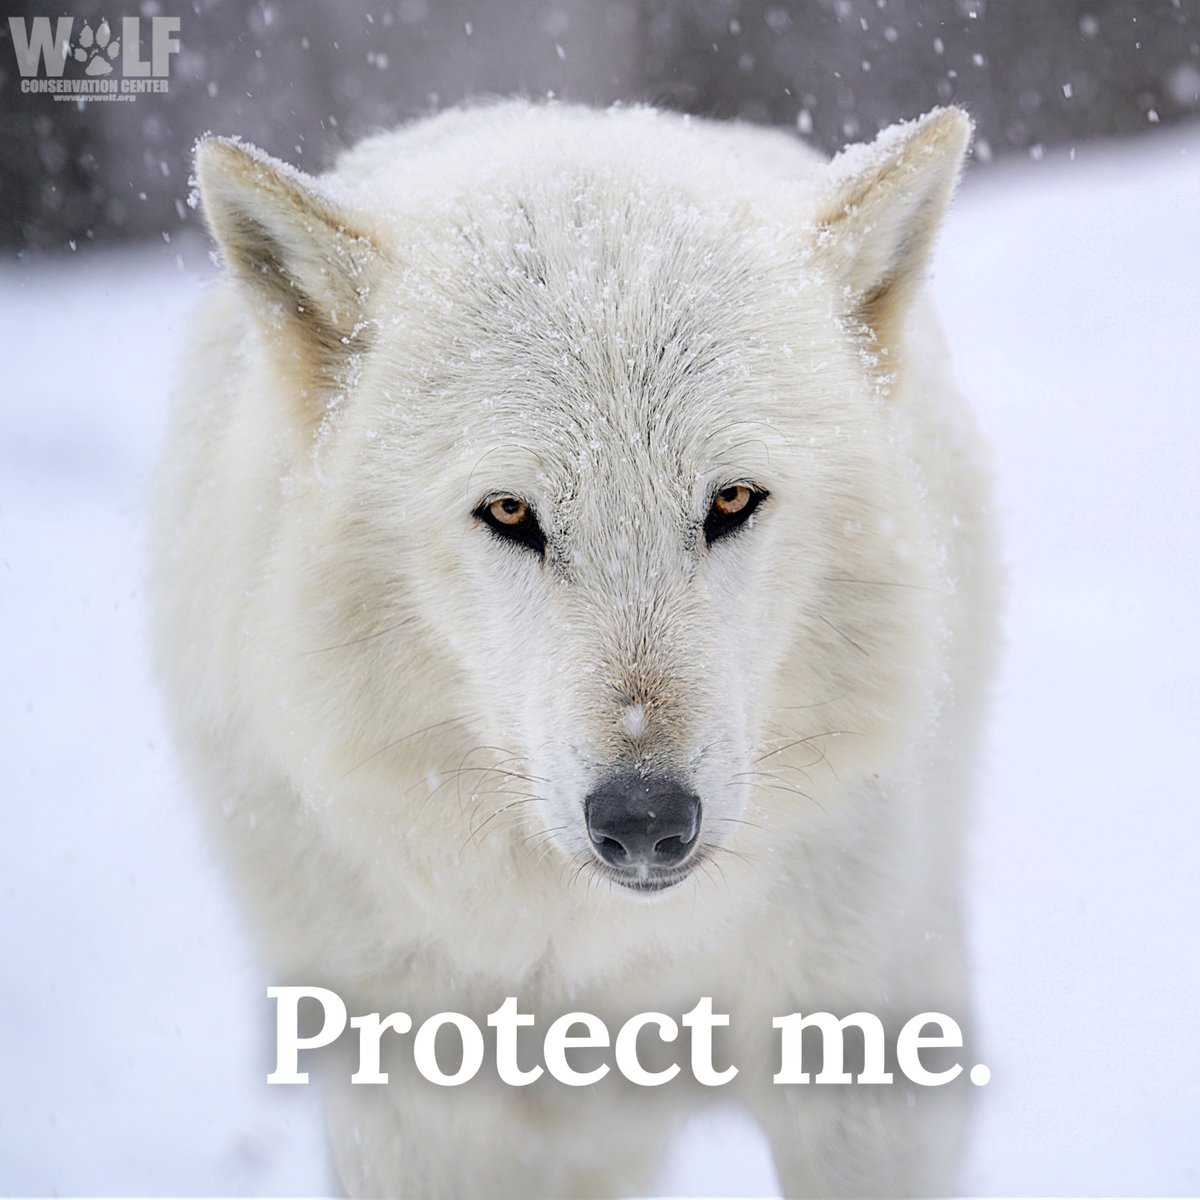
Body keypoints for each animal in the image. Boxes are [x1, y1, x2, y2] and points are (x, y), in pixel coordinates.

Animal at [152, 100, 997, 1197]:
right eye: (511, 513)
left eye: (732, 500)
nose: (645, 822)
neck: (605, 958)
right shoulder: (409, 1112)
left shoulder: (870, 1074)